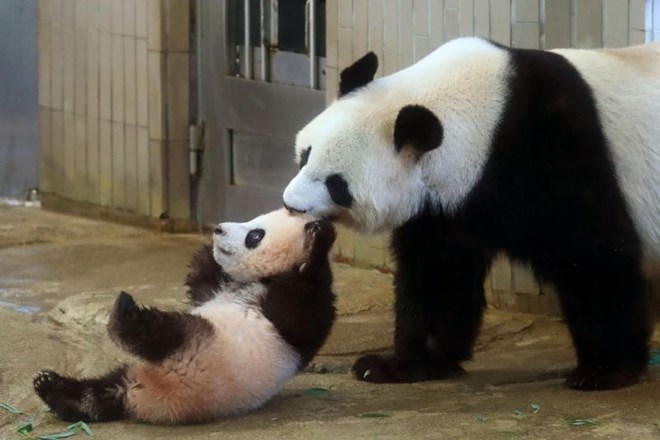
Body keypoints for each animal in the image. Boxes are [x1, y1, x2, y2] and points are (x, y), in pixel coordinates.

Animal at [284, 37, 660, 388]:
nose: (290, 204)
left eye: (337, 184)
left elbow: (593, 254)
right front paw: (401, 364)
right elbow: (439, 270)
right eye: (305, 155)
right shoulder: (446, 202)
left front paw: (605, 370)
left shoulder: (554, 149)